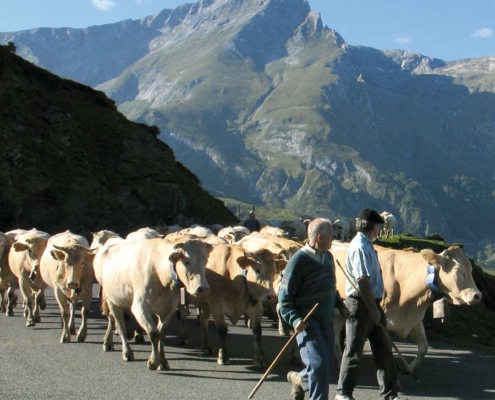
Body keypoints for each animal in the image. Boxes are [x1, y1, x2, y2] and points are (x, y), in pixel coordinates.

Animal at [95, 238, 211, 372]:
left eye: (205, 262)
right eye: (187, 262)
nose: (203, 289)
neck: (160, 272)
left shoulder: (168, 310)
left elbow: (162, 334)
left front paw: (163, 362)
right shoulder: (140, 307)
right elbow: (153, 333)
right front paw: (154, 361)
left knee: (113, 320)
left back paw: (109, 343)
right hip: (111, 300)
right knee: (119, 324)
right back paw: (126, 351)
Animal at [334, 245, 480, 374]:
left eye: (471, 270)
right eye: (458, 270)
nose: (477, 295)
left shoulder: (414, 318)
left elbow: (424, 347)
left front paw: (410, 368)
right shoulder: (382, 320)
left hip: (341, 312)